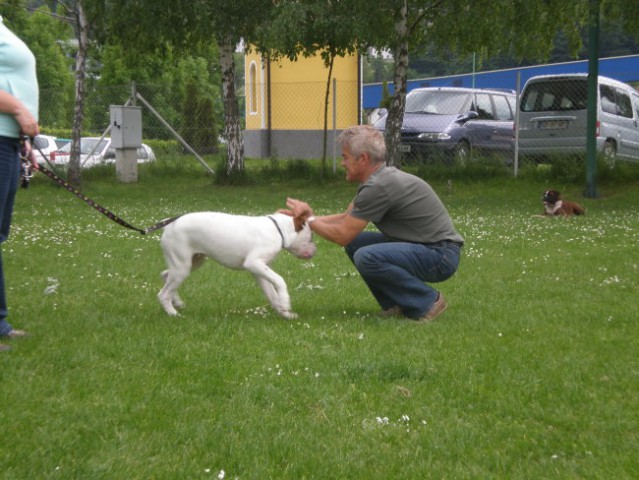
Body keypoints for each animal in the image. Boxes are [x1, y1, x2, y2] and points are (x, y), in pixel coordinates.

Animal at [158, 211, 318, 318]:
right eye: (311, 237)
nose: (315, 250)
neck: (278, 229)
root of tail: (169, 225)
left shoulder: (259, 271)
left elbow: (272, 294)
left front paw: (284, 313)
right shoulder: (254, 263)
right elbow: (280, 280)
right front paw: (285, 303)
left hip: (191, 263)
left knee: (166, 275)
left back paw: (176, 302)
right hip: (182, 268)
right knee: (163, 293)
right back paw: (173, 313)